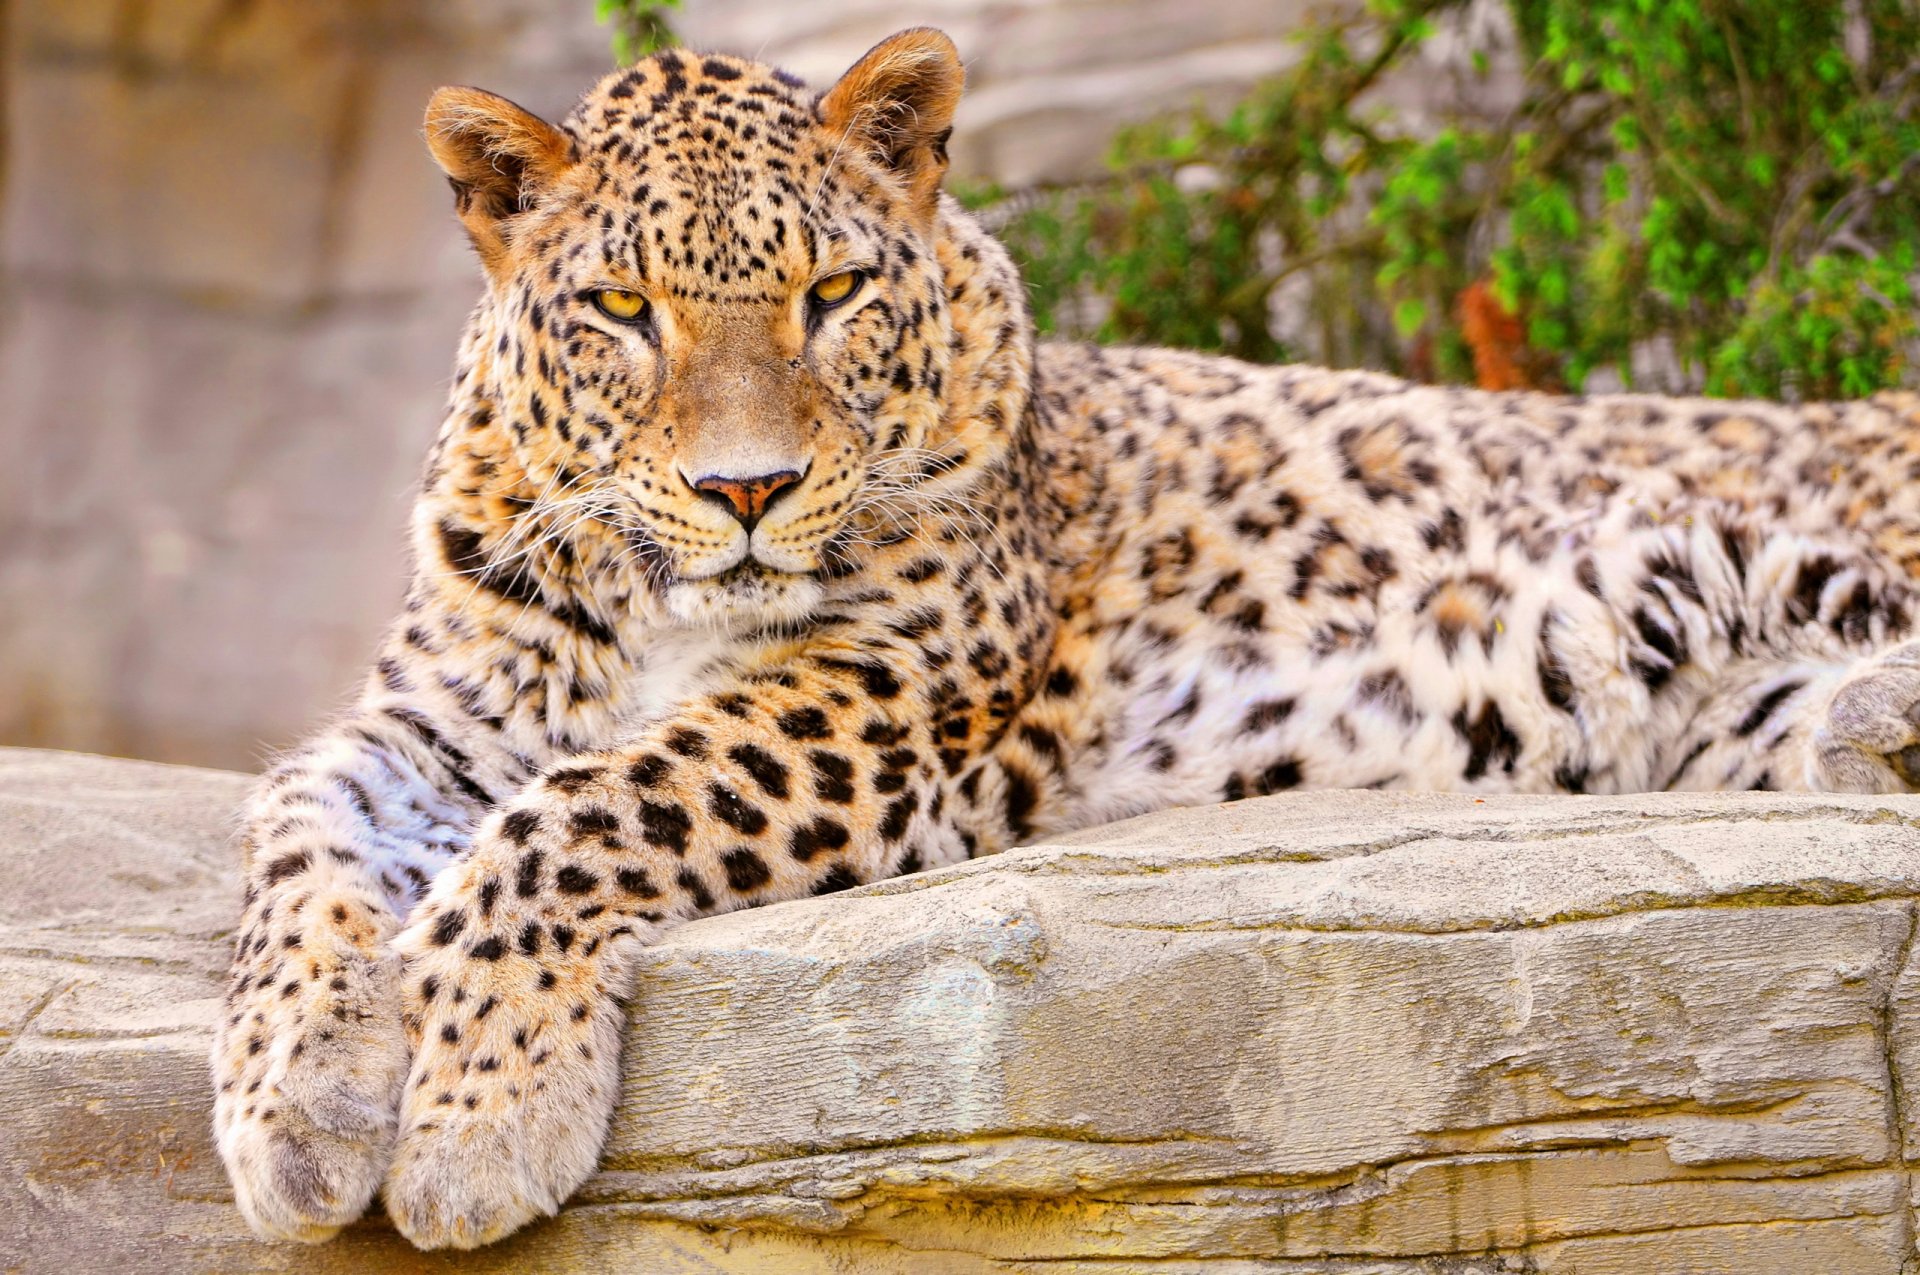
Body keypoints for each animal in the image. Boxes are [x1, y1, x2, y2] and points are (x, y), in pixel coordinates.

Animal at [206, 24, 1920, 1251]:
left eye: (835, 291)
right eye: (624, 309)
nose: (747, 489)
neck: (648, 605)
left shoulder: (889, 691)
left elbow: (586, 808)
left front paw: (475, 1116)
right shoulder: (432, 717)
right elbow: (291, 835)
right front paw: (302, 1099)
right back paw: (1870, 733)